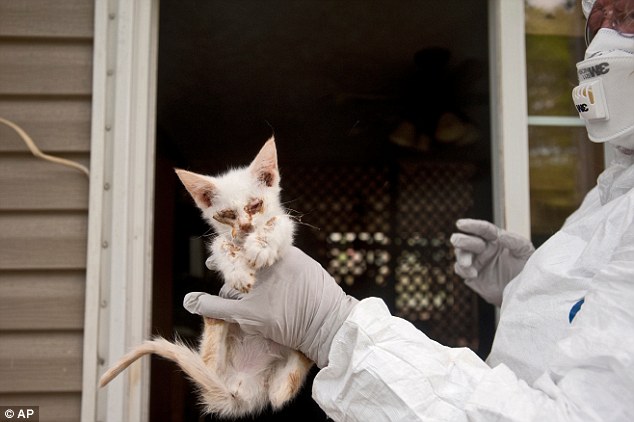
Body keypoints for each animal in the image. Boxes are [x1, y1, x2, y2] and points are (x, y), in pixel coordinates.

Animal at [99, 138, 314, 418]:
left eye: (255, 205)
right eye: (228, 214)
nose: (246, 227)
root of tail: (242, 386)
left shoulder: (287, 236)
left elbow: (278, 222)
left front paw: (262, 245)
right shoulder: (221, 240)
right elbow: (220, 244)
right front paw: (237, 270)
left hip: (280, 371)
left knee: (284, 388)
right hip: (217, 363)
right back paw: (212, 314)